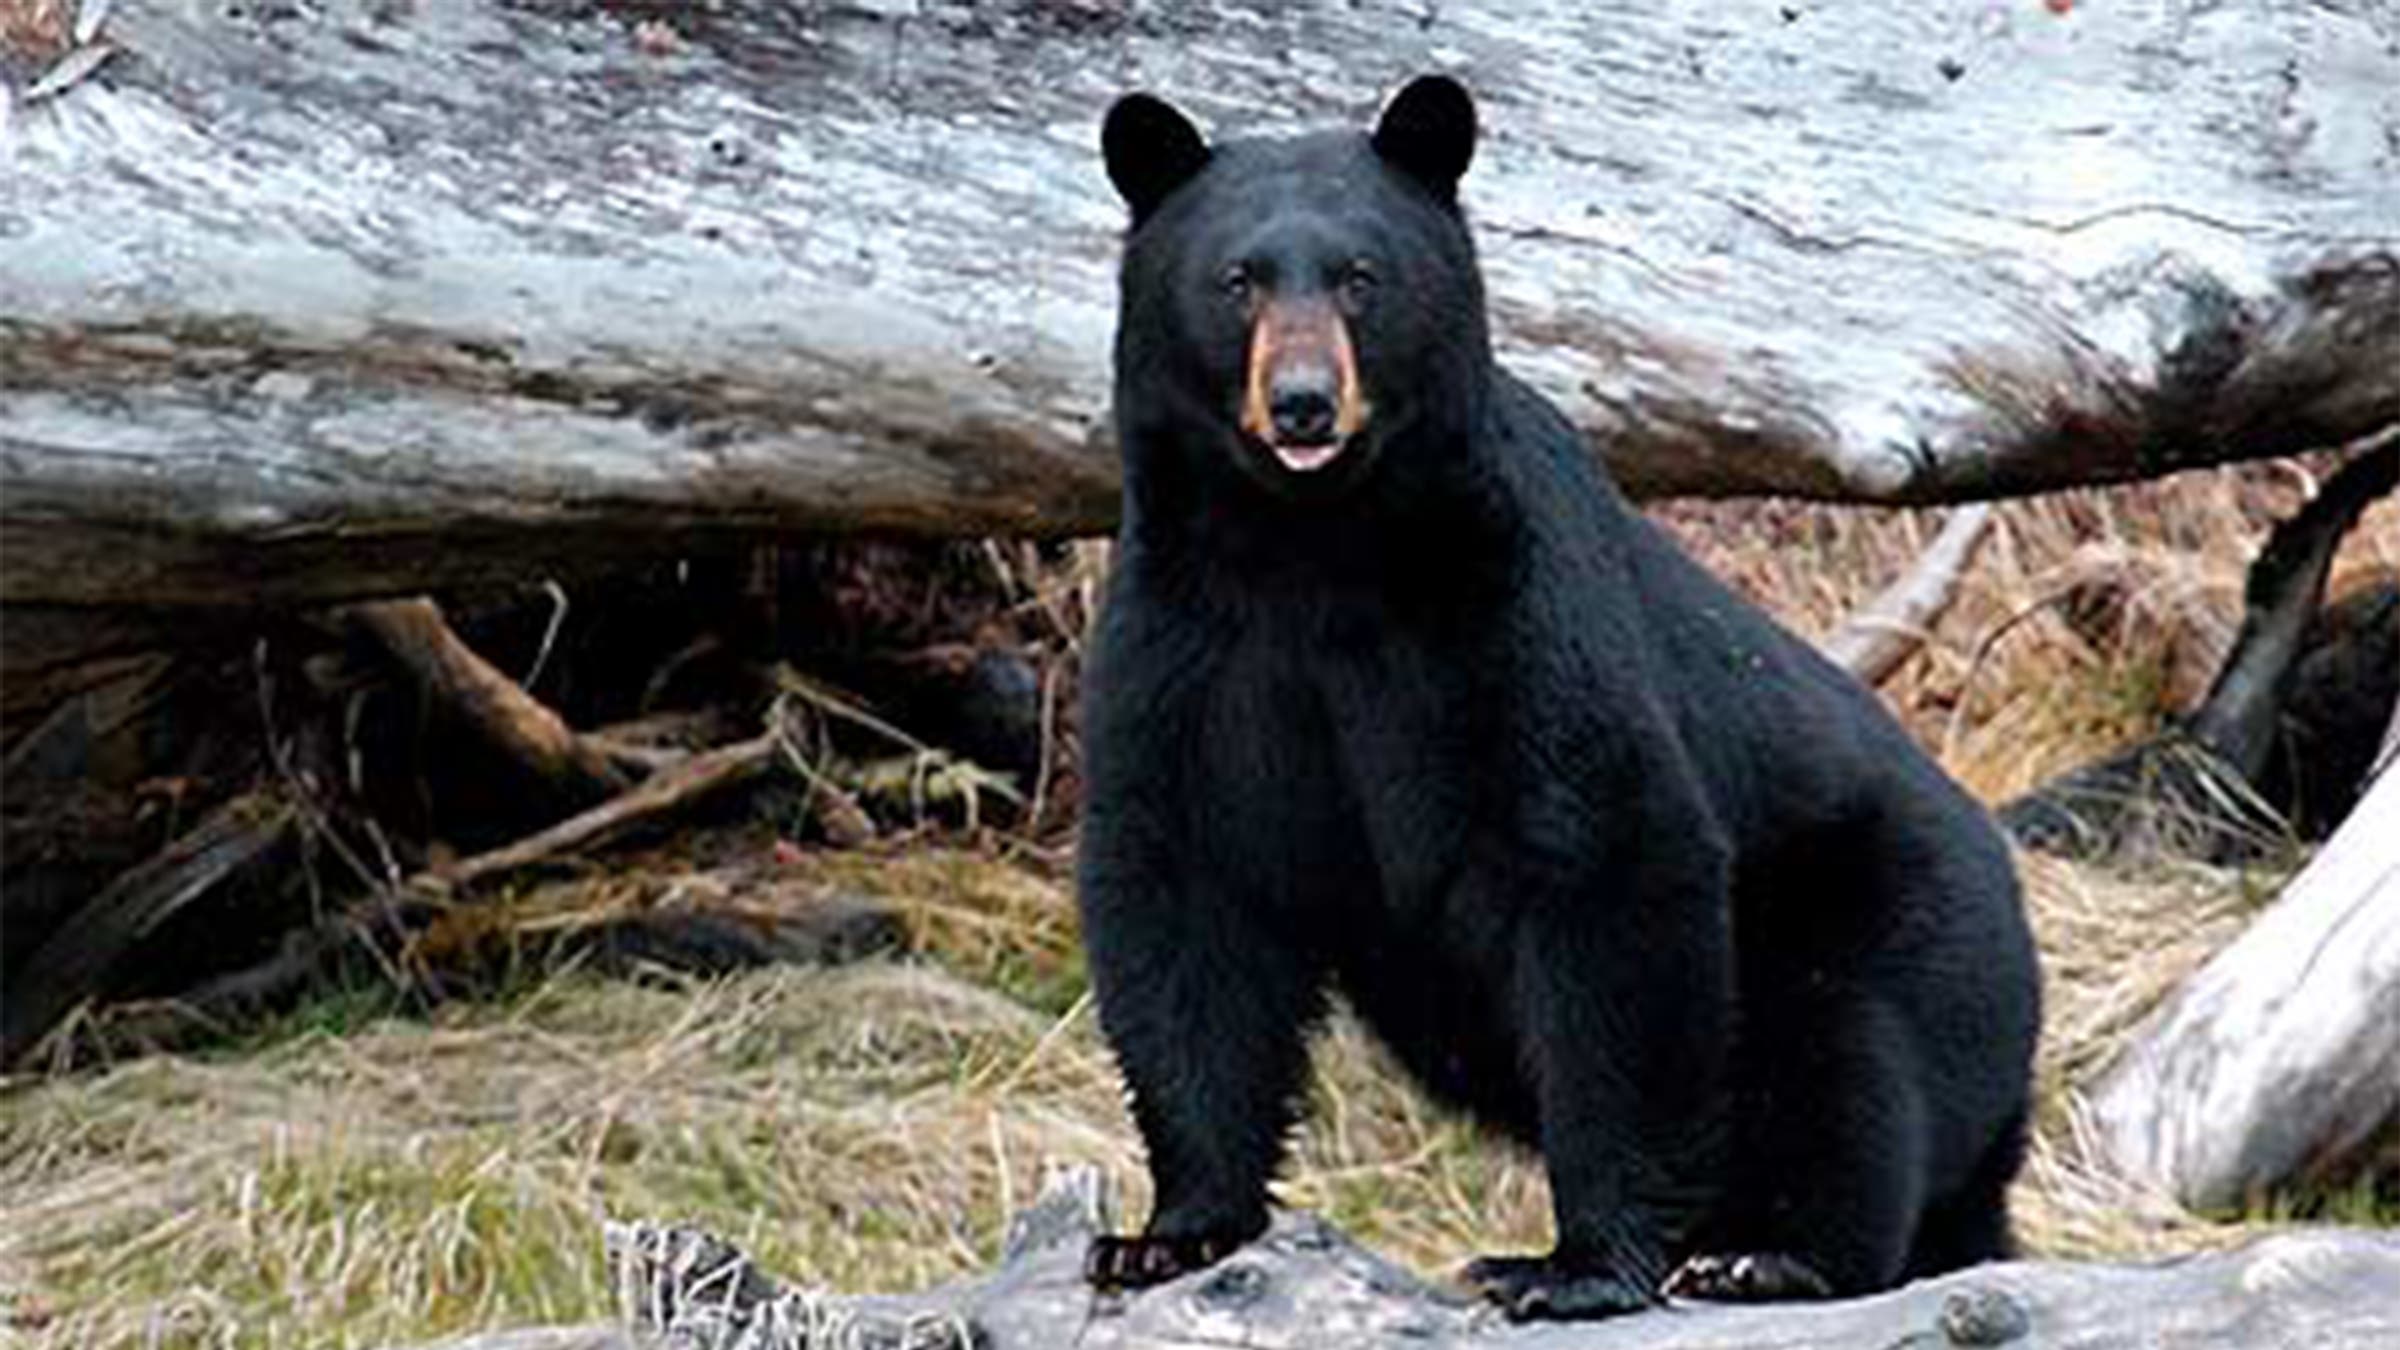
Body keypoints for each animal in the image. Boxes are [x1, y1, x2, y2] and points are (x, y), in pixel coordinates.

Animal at [1075, 74, 2041, 1321]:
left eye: (1360, 277)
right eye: (1236, 279)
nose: (1301, 405)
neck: (1313, 545)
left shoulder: (1514, 605)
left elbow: (1610, 862)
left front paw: (1570, 1267)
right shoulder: (1184, 633)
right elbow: (1182, 889)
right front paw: (1169, 1234)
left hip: (1899, 930)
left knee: (1848, 1067)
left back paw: (1770, 1254)